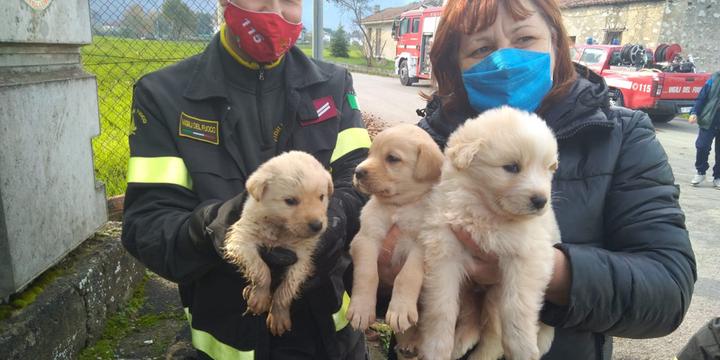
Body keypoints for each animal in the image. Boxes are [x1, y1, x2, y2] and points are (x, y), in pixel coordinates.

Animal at [224, 150, 334, 336]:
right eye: (290, 201)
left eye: (321, 197)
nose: (317, 226)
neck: (280, 230)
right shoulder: (242, 239)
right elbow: (261, 270)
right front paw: (260, 298)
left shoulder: (302, 257)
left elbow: (286, 288)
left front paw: (278, 316)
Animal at [344, 123, 444, 358]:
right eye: (370, 153)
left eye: (392, 158)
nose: (357, 172)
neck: (400, 207)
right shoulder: (366, 238)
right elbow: (367, 274)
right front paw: (361, 309)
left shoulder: (423, 247)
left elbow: (407, 276)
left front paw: (401, 310)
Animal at [420, 107, 560, 360]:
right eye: (512, 167)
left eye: (547, 169)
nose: (541, 201)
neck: (484, 213)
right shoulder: (444, 253)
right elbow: (441, 306)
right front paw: (436, 348)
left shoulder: (528, 256)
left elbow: (517, 306)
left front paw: (523, 349)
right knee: (474, 318)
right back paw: (460, 343)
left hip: (495, 293)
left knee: (493, 333)